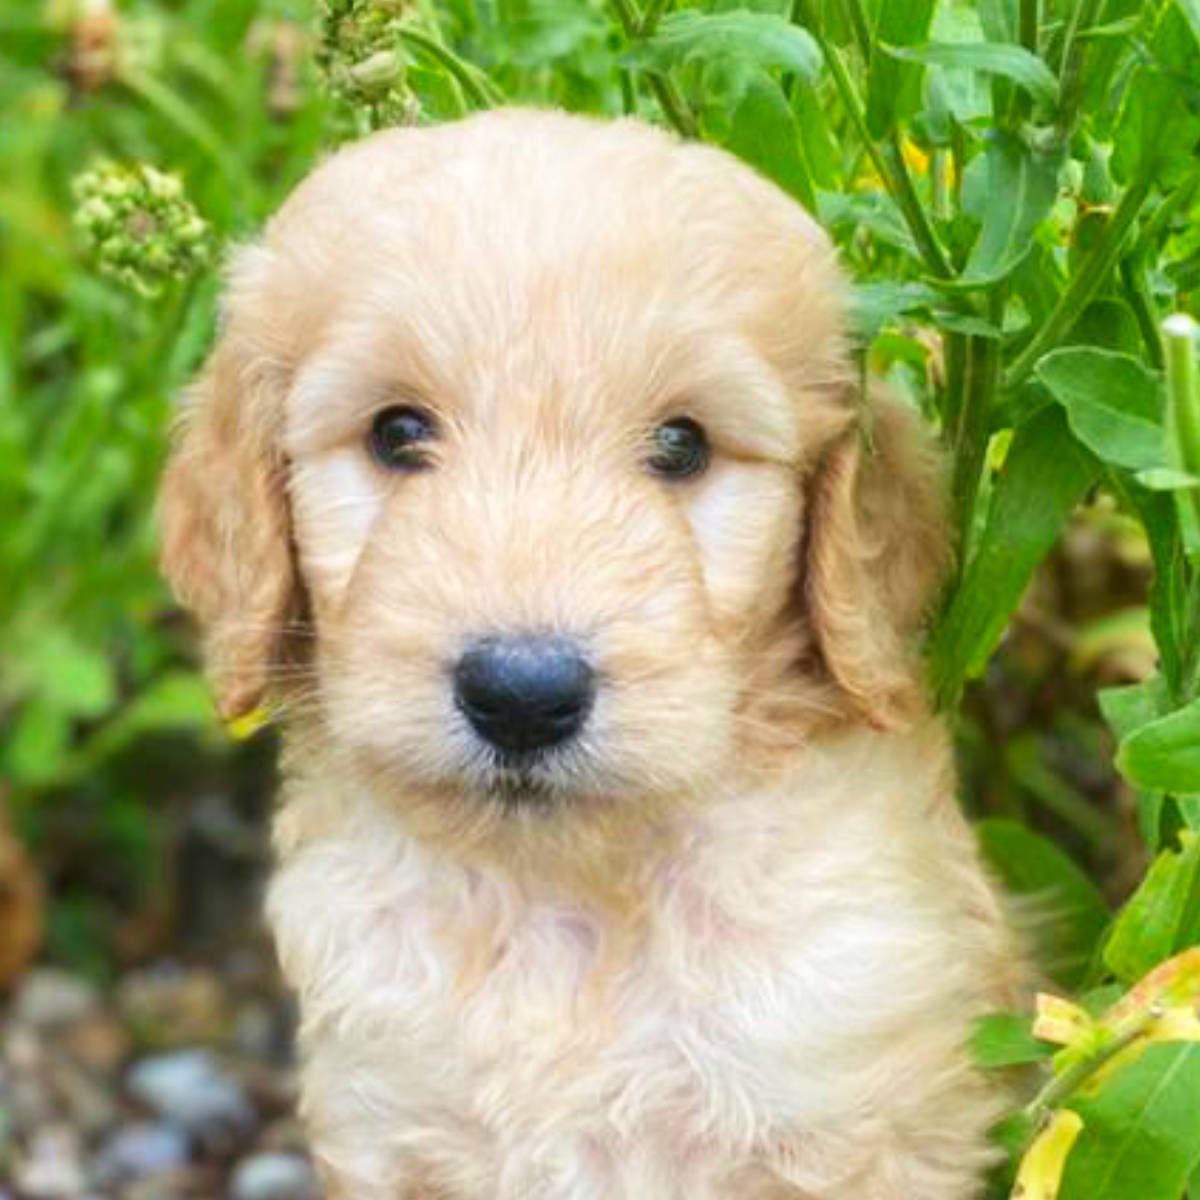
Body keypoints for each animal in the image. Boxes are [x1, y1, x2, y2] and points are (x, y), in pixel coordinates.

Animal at [162, 108, 1022, 1195]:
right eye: (397, 432)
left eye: (683, 446)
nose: (521, 695)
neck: (564, 902)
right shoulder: (387, 1113)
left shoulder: (849, 1106)